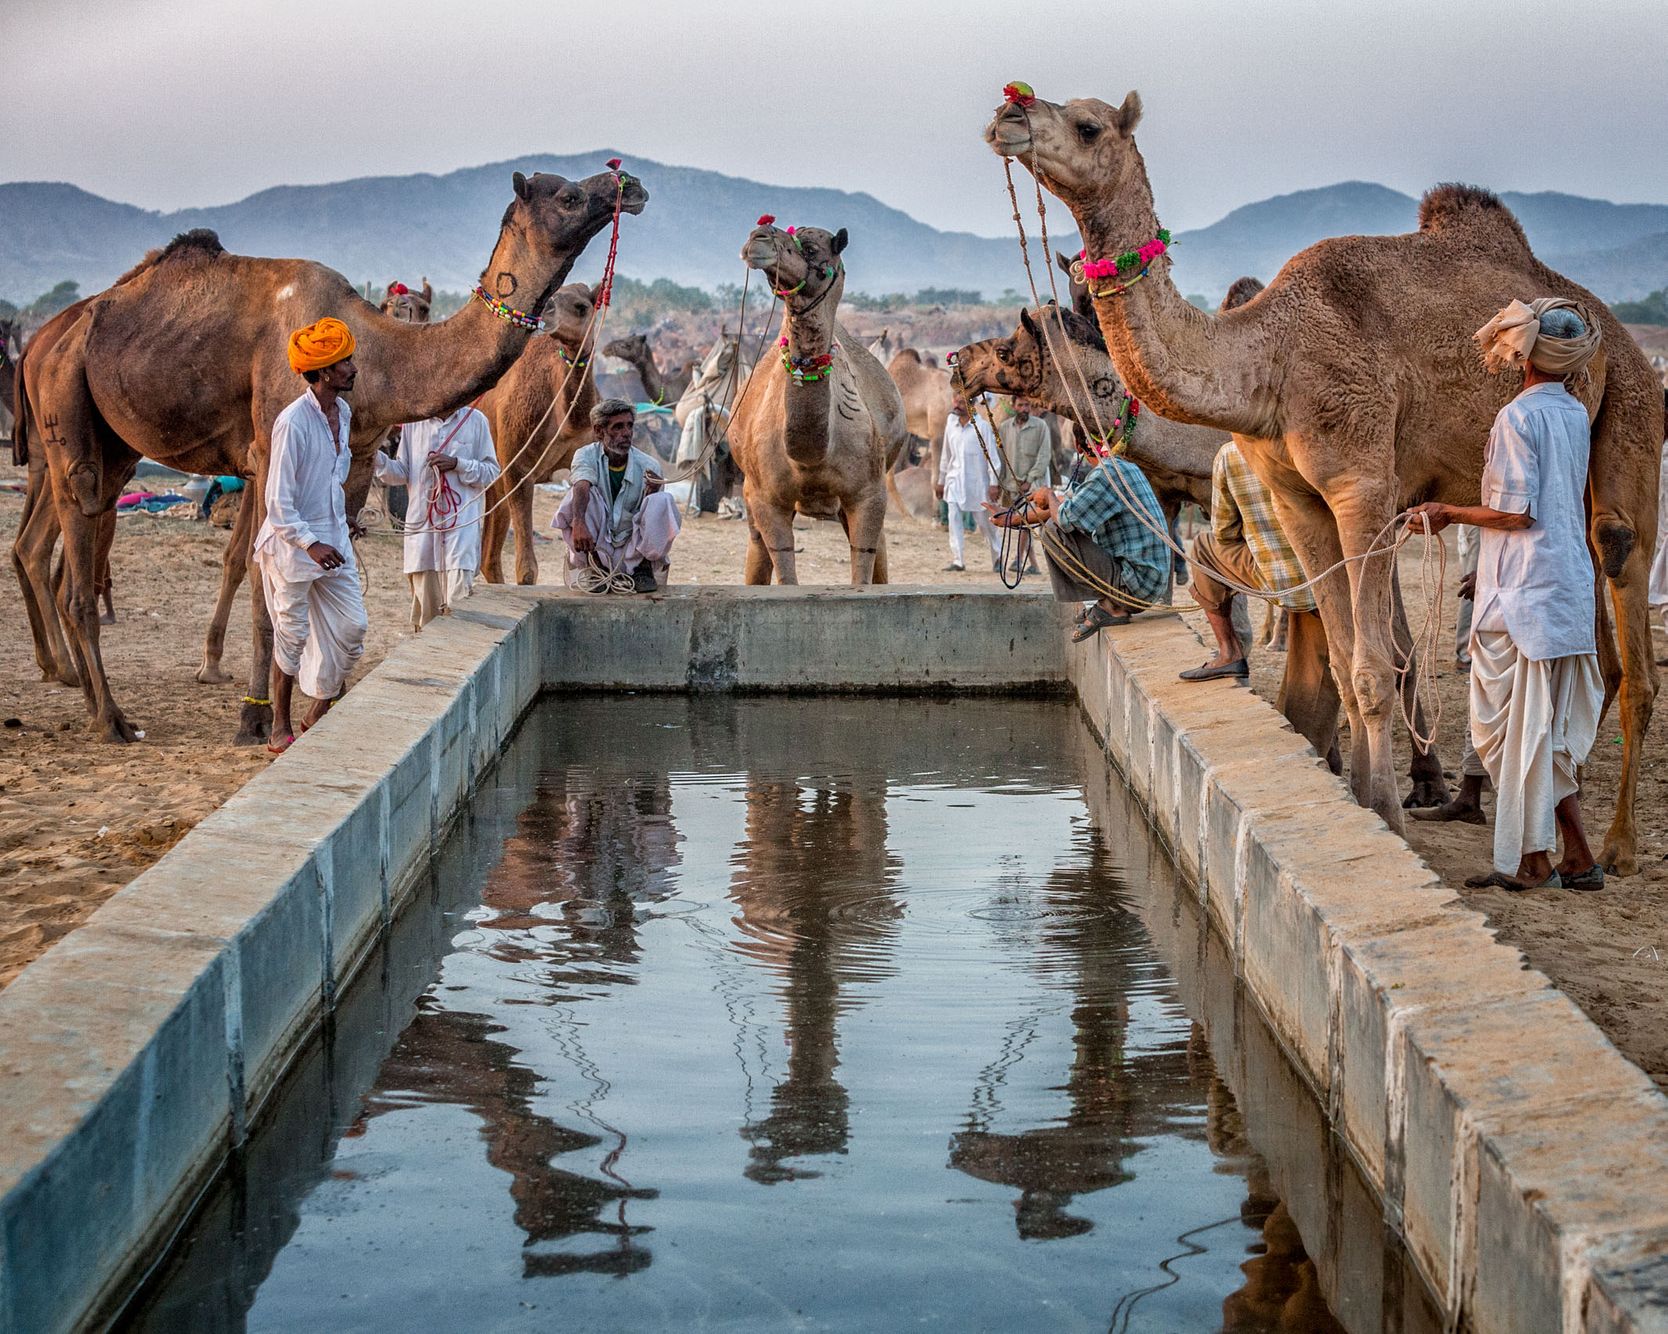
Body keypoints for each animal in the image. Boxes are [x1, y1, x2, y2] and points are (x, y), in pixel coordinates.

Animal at [478, 282, 601, 585]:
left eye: (582, 306)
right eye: (553, 295)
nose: (547, 310)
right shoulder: (517, 468)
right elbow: (527, 570)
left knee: (488, 558)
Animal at [728, 220, 908, 585]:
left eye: (810, 249)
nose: (758, 237)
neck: (812, 455)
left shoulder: (868, 493)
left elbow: (863, 572)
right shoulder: (766, 498)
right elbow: (785, 573)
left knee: (879, 552)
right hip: (751, 493)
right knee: (757, 549)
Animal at [986, 90, 1661, 871]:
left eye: (1089, 125)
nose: (1009, 115)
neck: (1269, 361)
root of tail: (1616, 332)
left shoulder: (1363, 486)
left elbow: (1373, 666)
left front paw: (1391, 816)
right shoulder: (1296, 499)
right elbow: (1342, 661)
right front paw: (1367, 801)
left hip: (1633, 409)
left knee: (1624, 586)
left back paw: (1615, 846)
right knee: (1594, 643)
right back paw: (1555, 820)